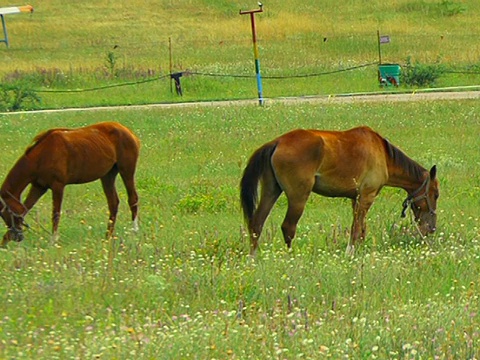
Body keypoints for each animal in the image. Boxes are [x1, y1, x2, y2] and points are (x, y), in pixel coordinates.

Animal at [0, 121, 141, 248]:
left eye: (6, 212)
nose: (17, 236)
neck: (42, 155)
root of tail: (129, 132)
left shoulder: (57, 186)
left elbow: (55, 214)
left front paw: (53, 241)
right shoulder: (38, 187)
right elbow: (26, 207)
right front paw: (4, 242)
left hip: (126, 170)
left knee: (132, 199)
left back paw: (134, 232)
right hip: (107, 176)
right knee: (113, 203)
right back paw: (108, 236)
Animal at [240, 126, 438, 256]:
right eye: (435, 194)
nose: (431, 228)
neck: (383, 154)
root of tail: (278, 142)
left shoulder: (356, 199)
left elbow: (361, 228)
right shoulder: (366, 197)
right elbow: (356, 228)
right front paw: (350, 252)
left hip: (271, 191)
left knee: (257, 223)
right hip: (298, 197)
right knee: (288, 227)